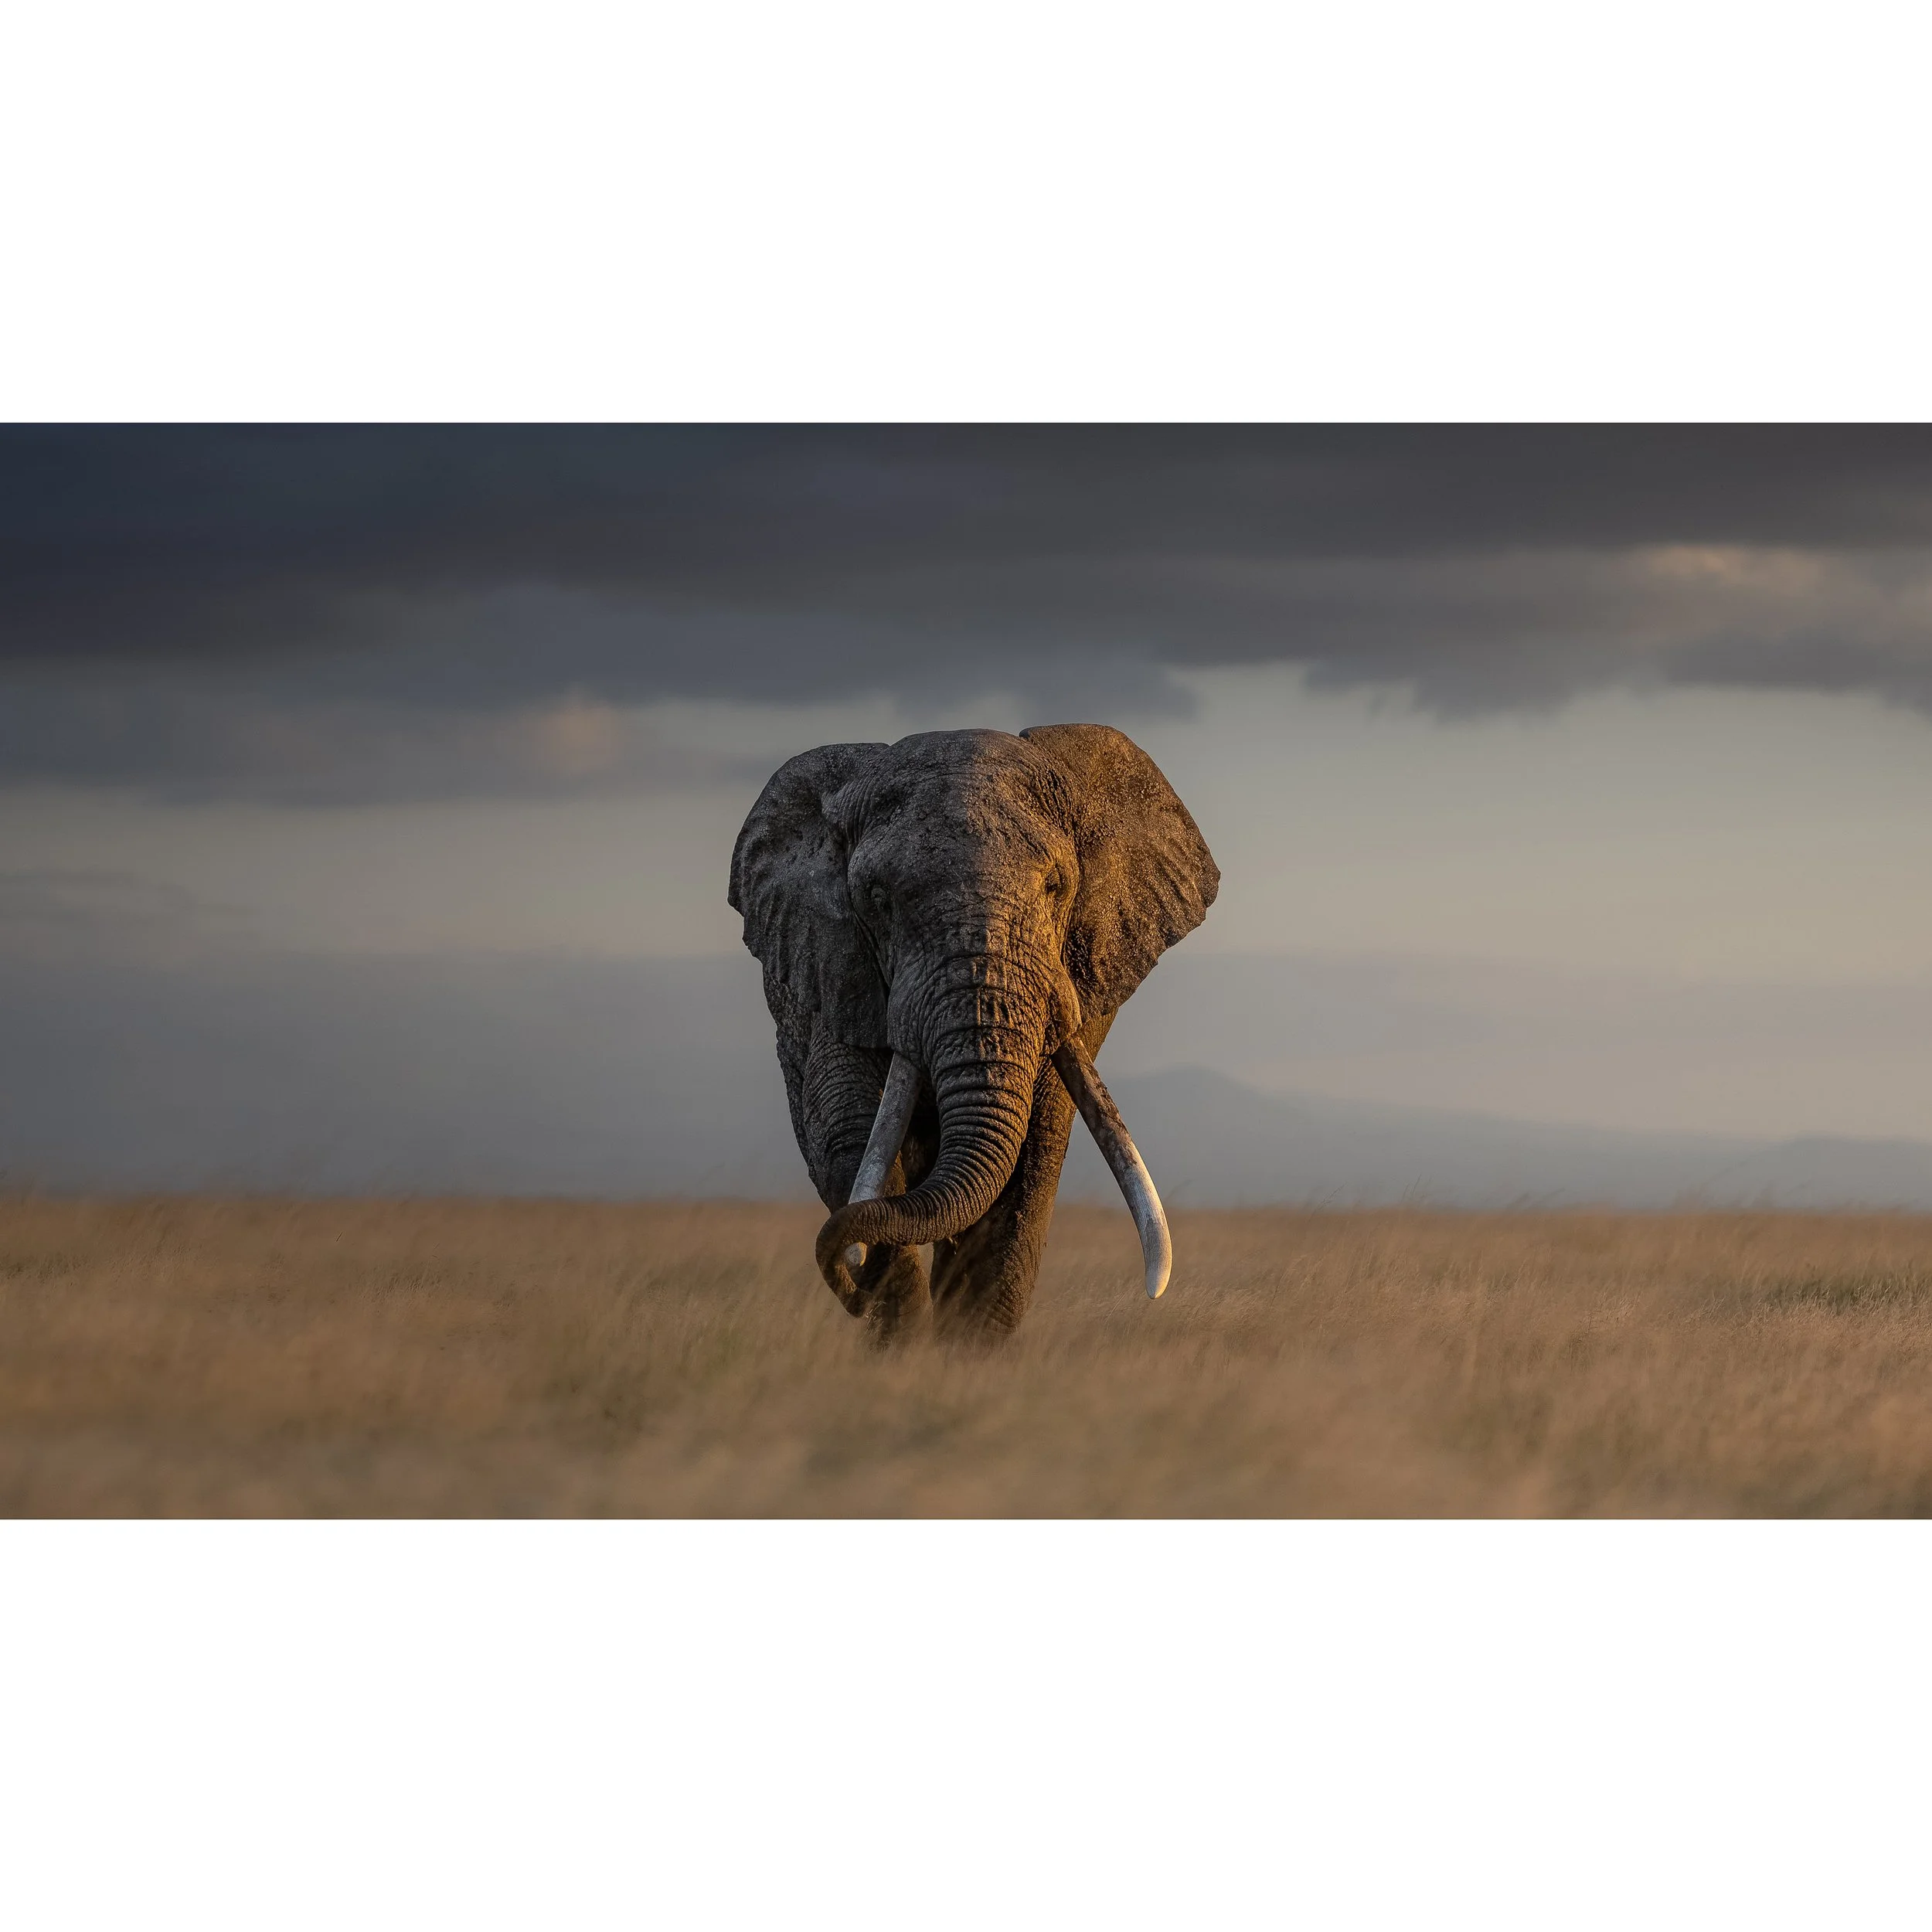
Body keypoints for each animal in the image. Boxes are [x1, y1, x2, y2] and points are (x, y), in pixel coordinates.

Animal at [728, 722, 1218, 1342]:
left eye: (1057, 887)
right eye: (878, 901)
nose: (847, 1279)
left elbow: (1030, 1157)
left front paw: (962, 1353)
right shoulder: (830, 967)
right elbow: (849, 1133)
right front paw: (903, 1345)